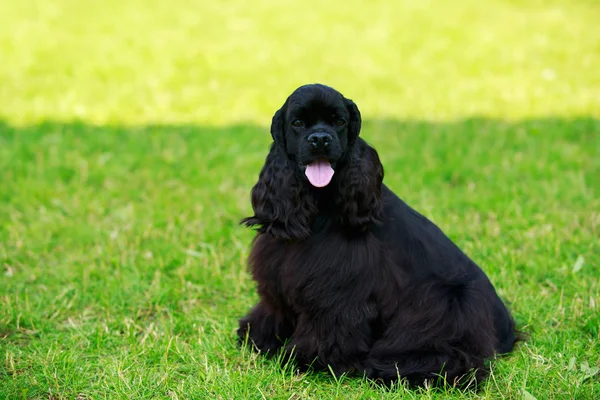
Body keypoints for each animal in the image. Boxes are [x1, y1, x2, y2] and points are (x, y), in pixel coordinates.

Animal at [237, 83, 516, 388]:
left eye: (339, 121)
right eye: (297, 123)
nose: (320, 139)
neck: (320, 204)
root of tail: (506, 330)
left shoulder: (338, 292)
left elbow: (326, 328)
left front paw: (303, 359)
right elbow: (274, 309)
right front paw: (257, 335)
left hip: (444, 302)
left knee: (454, 359)